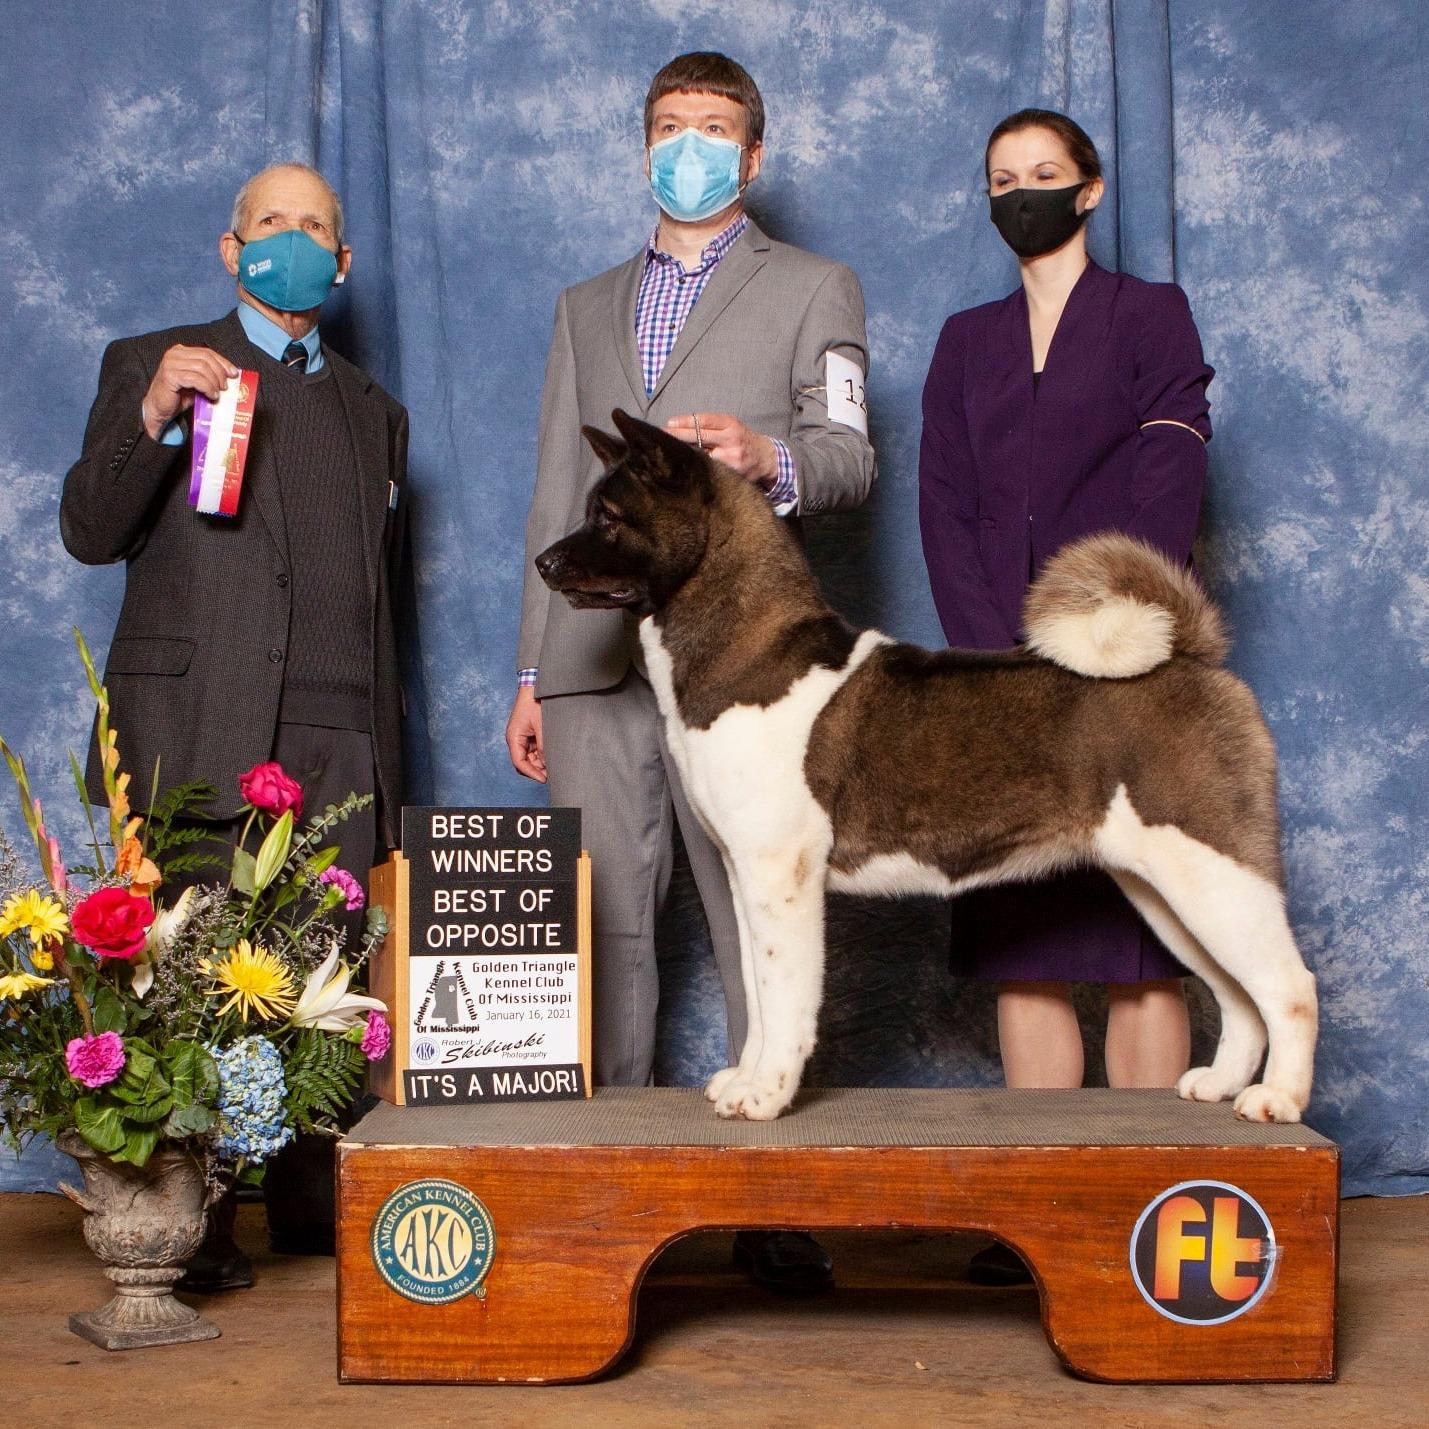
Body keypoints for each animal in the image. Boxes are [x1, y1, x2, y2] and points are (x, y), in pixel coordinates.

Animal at [536, 409, 1317, 1124]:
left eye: (608, 517)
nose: (544, 562)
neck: (747, 652)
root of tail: (1192, 654)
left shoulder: (780, 877)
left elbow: (786, 1000)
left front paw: (767, 1095)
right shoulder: (742, 874)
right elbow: (758, 994)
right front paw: (745, 1080)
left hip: (1214, 872)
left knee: (1288, 989)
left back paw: (1277, 1099)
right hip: (1166, 888)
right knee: (1238, 995)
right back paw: (1220, 1086)